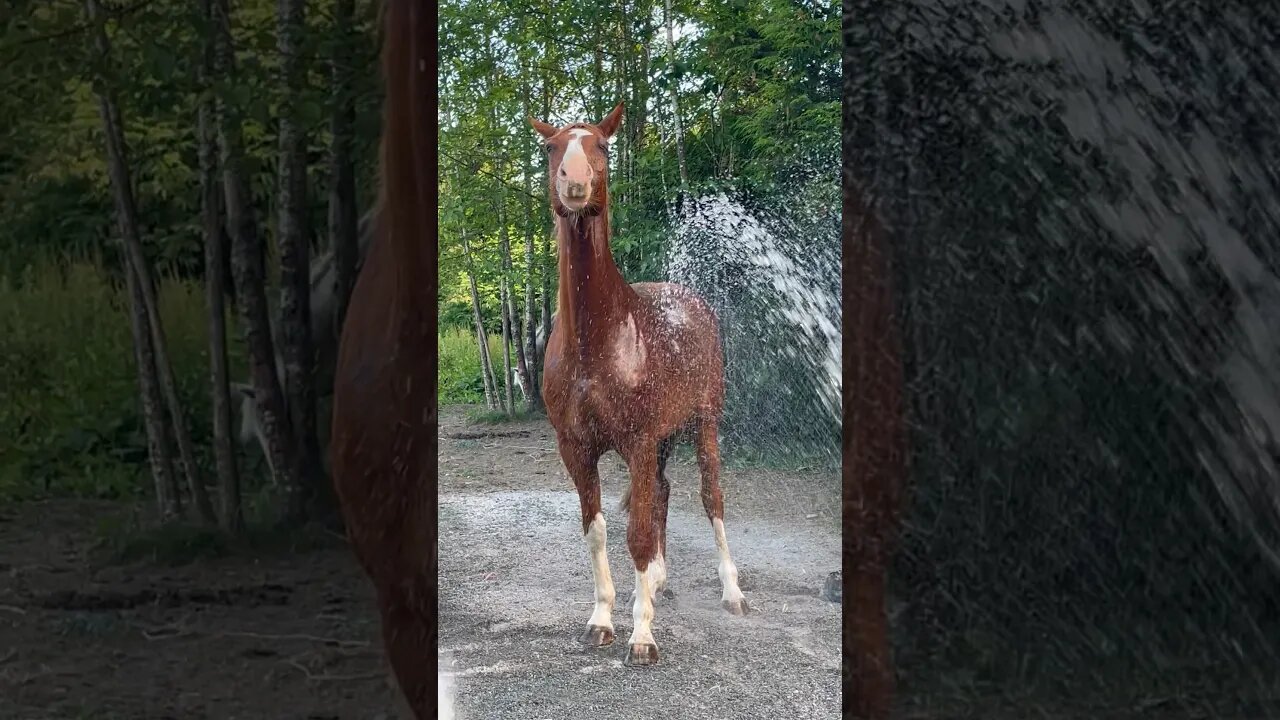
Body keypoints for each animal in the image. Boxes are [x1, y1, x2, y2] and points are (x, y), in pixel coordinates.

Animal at [529, 103, 747, 666]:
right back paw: (658, 582)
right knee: (665, 492)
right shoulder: (577, 448)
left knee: (712, 498)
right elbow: (599, 531)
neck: (599, 341)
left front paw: (642, 634)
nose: (574, 182)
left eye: (603, 145)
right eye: (551, 148)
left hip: (703, 424)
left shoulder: (639, 442)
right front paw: (604, 619)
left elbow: (639, 534)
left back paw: (732, 591)